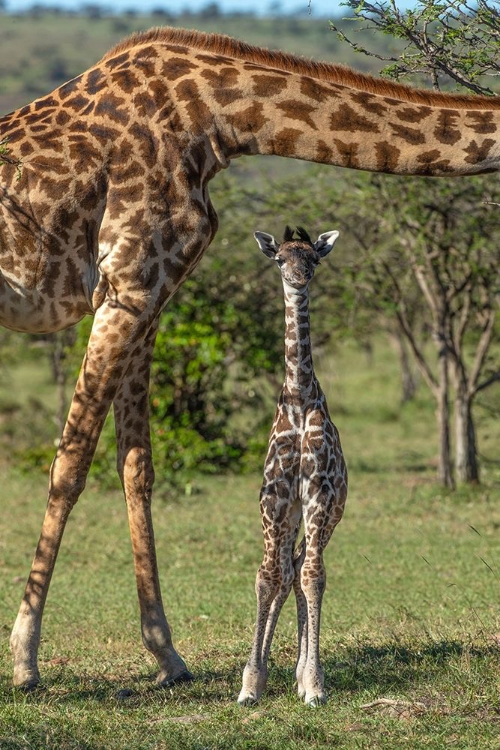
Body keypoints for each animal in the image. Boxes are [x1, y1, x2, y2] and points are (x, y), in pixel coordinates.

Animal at [0, 26, 498, 692]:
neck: (218, 118)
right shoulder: (127, 284)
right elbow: (71, 463)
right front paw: (25, 656)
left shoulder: (147, 293)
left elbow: (137, 467)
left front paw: (166, 653)